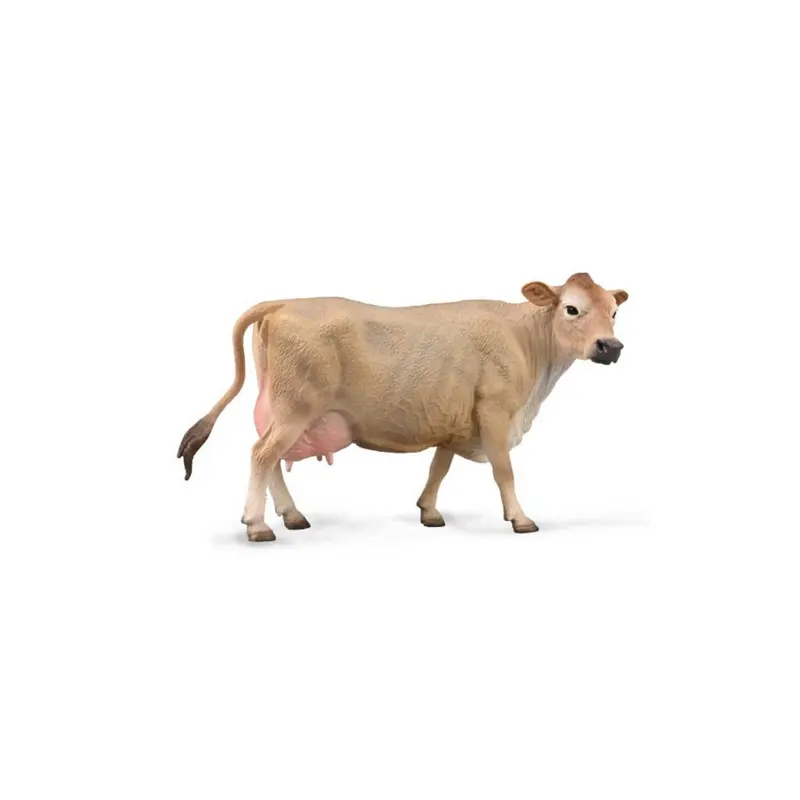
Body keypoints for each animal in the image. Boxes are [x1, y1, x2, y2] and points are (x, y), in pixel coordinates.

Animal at [178, 272, 628, 541]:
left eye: (614, 312)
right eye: (572, 308)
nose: (611, 347)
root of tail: (284, 302)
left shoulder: (456, 419)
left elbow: (438, 467)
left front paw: (428, 511)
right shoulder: (495, 412)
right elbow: (504, 471)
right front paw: (521, 518)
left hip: (283, 409)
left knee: (269, 457)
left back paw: (291, 516)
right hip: (296, 406)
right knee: (262, 454)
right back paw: (257, 526)